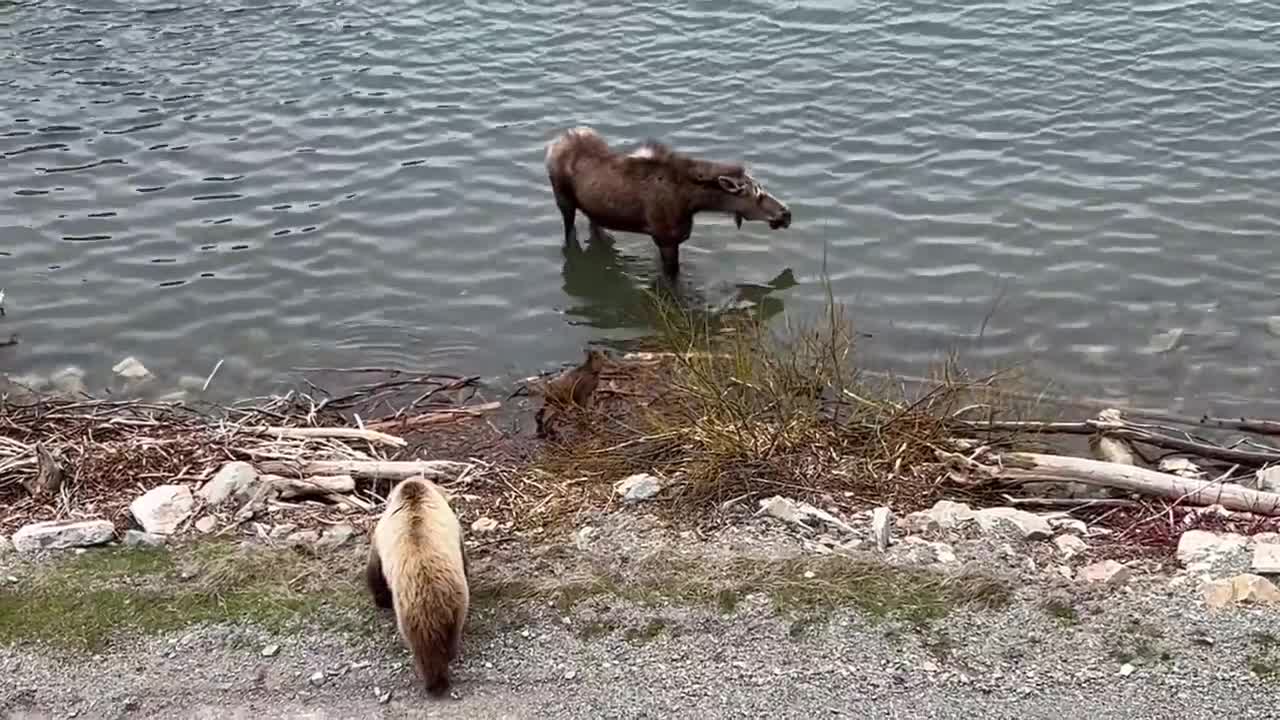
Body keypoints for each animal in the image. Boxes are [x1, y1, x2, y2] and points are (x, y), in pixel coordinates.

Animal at [542, 126, 788, 274]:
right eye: (757, 194)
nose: (786, 213)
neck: (692, 202)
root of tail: (555, 142)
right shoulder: (665, 239)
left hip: (595, 209)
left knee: (595, 227)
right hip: (563, 200)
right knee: (570, 233)